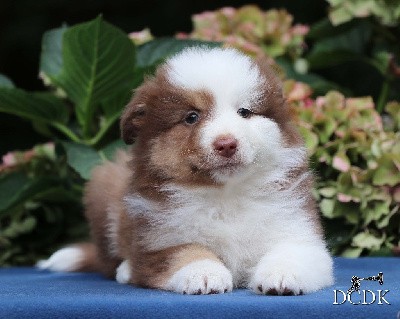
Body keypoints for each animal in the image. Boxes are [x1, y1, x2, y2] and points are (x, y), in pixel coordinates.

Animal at [39, 47, 334, 296]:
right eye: (191, 117)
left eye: (245, 112)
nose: (226, 144)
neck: (226, 194)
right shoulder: (160, 239)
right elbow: (185, 253)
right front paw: (204, 274)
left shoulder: (295, 226)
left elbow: (293, 251)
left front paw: (283, 275)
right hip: (104, 193)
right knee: (108, 259)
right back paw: (125, 269)